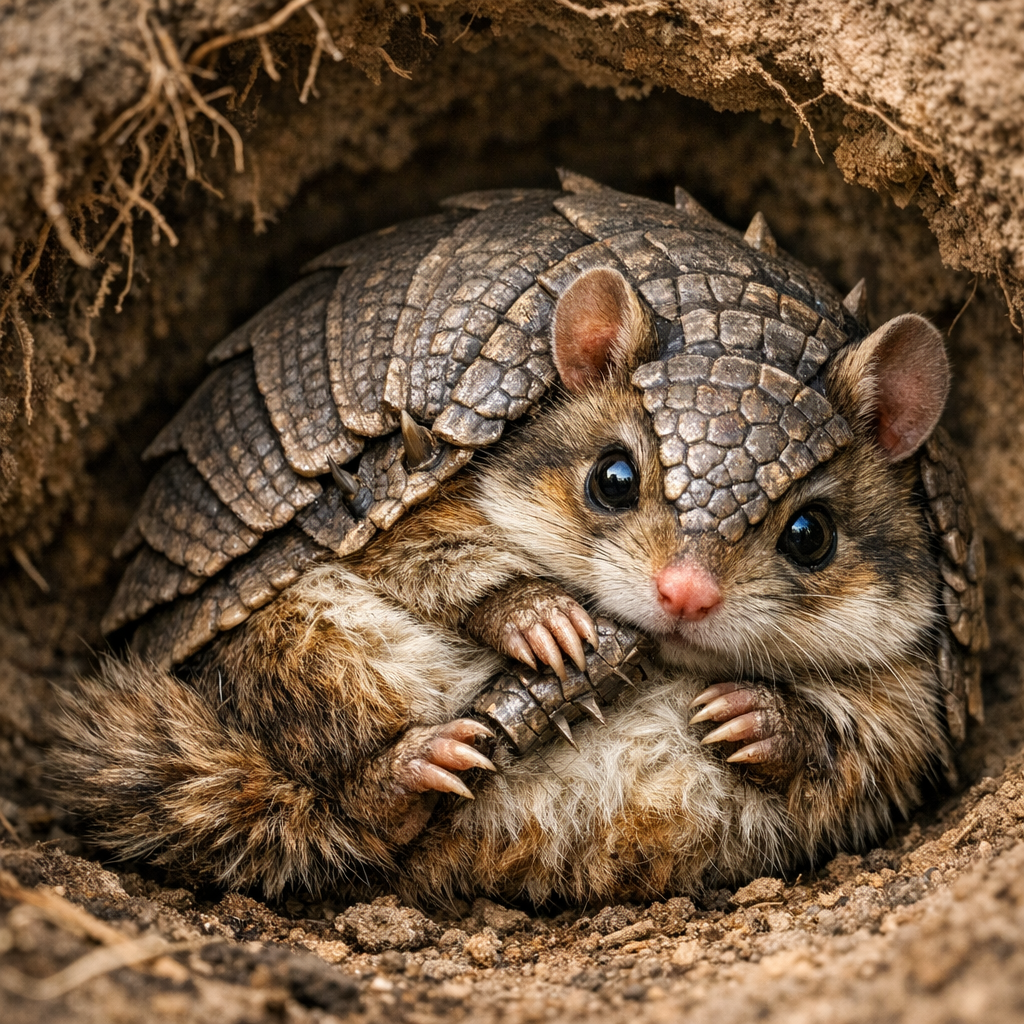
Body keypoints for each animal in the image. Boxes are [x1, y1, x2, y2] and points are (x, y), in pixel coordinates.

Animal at [55, 266, 953, 904]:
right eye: (613, 478)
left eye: (812, 535)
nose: (684, 599)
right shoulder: (416, 511)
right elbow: (441, 558)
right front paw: (549, 627)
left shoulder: (906, 700)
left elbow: (864, 746)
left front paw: (746, 715)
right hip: (305, 641)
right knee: (345, 799)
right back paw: (431, 759)